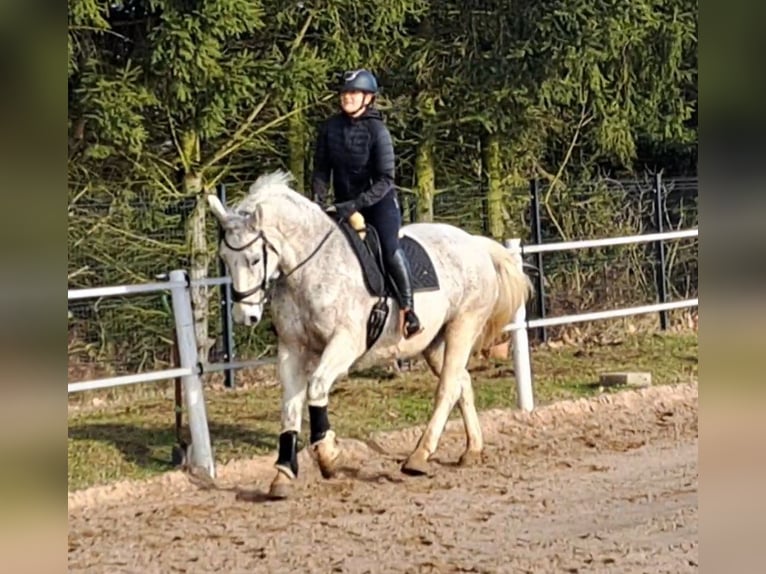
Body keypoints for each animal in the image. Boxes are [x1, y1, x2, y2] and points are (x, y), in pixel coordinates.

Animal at [207, 170, 536, 500]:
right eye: (224, 258)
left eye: (253, 259)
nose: (244, 316)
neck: (310, 269)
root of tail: (474, 243)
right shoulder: (292, 348)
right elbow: (289, 406)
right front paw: (284, 473)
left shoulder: (345, 344)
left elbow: (316, 388)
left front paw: (328, 455)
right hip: (434, 342)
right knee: (461, 383)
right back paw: (472, 449)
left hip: (463, 327)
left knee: (447, 389)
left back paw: (418, 456)